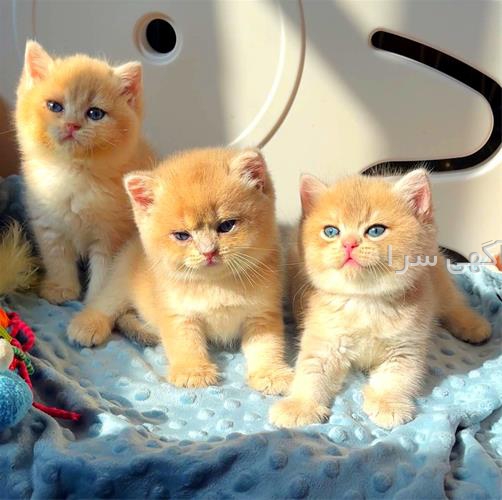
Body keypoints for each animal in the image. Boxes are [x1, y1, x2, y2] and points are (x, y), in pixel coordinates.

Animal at [15, 40, 155, 305]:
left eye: (95, 113)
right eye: (54, 106)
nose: (72, 125)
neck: (73, 173)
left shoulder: (113, 234)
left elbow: (106, 271)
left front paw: (96, 299)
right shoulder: (50, 226)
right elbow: (57, 260)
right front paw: (61, 289)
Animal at [67, 148, 293, 394]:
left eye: (226, 226)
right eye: (182, 235)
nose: (208, 252)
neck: (217, 284)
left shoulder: (262, 313)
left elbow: (267, 345)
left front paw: (270, 373)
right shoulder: (178, 314)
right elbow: (184, 344)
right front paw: (193, 371)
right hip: (120, 278)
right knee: (106, 303)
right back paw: (87, 325)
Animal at [269, 169, 491, 428]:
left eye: (375, 230)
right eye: (331, 231)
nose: (349, 243)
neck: (365, 301)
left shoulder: (405, 348)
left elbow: (395, 378)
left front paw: (388, 404)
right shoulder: (323, 340)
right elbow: (311, 373)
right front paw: (299, 406)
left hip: (436, 275)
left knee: (451, 303)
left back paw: (473, 325)